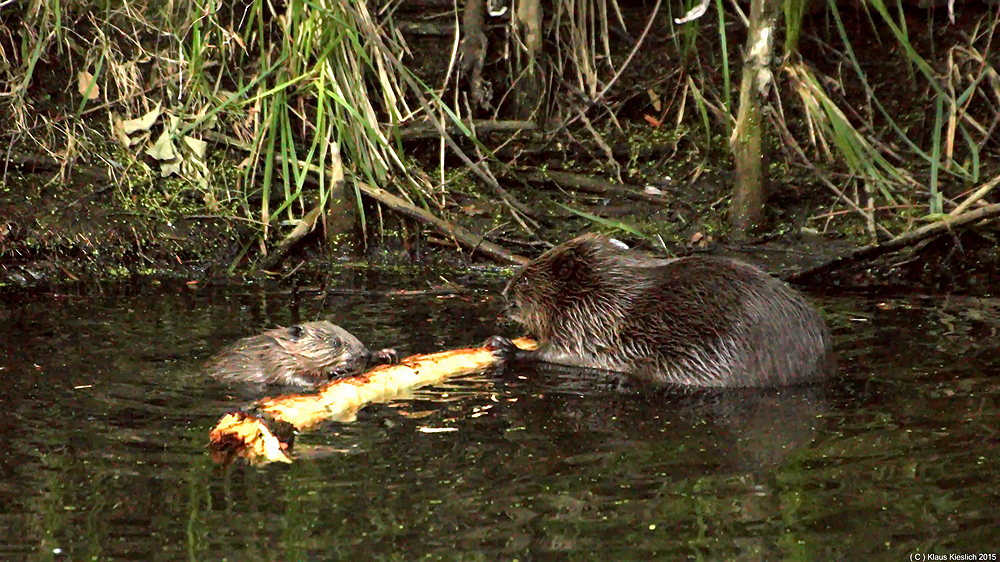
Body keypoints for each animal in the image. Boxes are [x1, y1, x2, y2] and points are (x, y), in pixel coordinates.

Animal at [205, 320, 396, 384]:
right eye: (335, 342)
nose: (364, 354)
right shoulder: (276, 360)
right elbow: (292, 378)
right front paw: (335, 372)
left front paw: (385, 354)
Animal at [488, 234, 832, 388]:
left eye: (526, 278)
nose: (504, 294)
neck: (601, 285)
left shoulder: (592, 321)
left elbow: (564, 353)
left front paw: (505, 347)